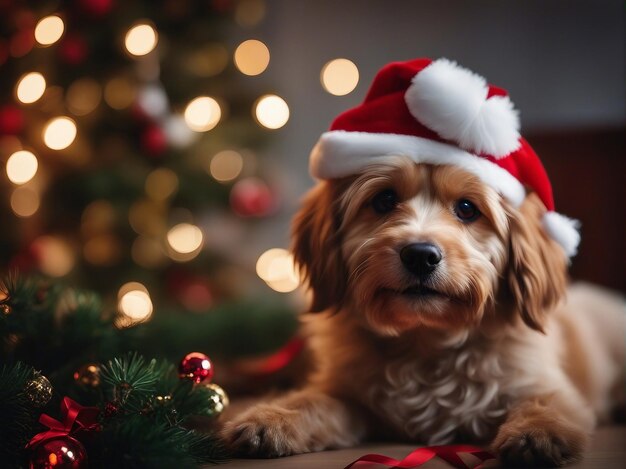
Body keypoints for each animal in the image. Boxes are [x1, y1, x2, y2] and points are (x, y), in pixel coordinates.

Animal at [221, 58, 624, 464]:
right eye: (384, 200)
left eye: (467, 208)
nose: (420, 255)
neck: (426, 341)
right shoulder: (347, 395)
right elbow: (314, 402)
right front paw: (272, 417)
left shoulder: (552, 389)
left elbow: (545, 405)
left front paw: (536, 434)